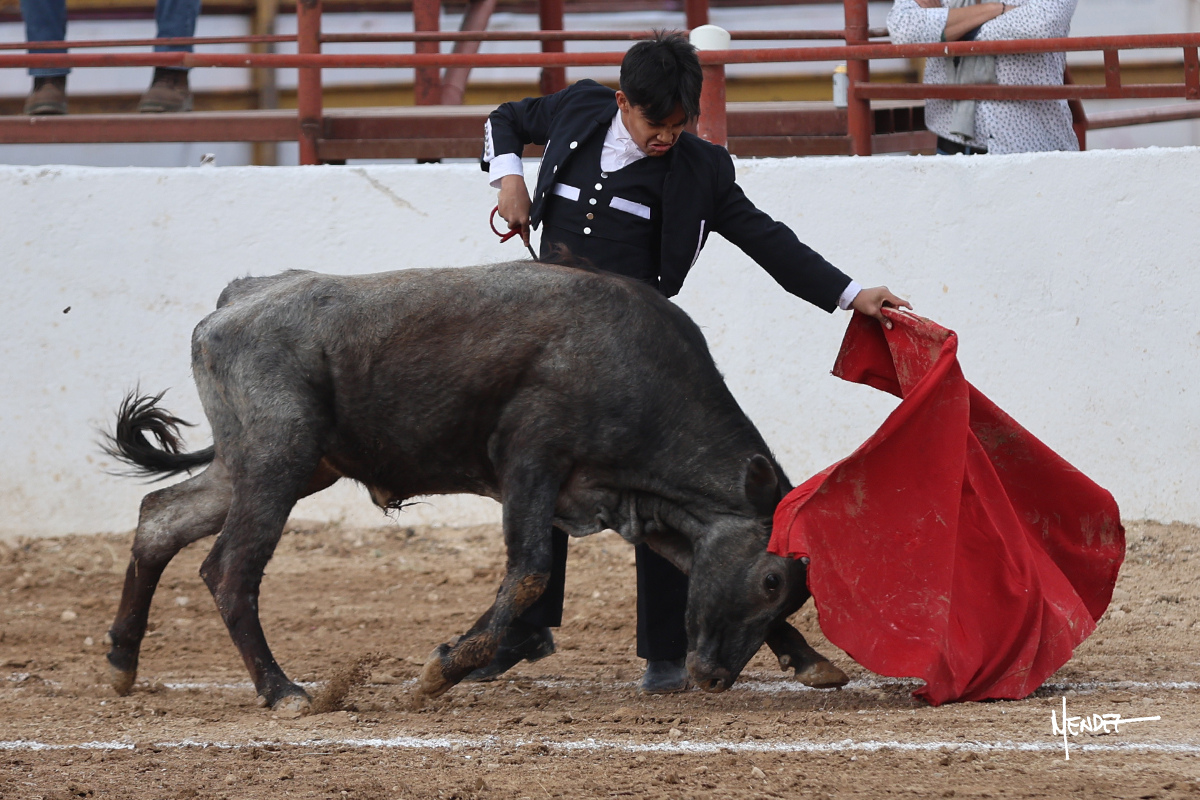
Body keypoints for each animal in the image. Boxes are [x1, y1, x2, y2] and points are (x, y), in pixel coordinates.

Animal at [102, 261, 848, 715]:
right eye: (772, 580)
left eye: (792, 588)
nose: (714, 677)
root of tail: (239, 298)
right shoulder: (531, 463)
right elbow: (530, 572)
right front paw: (439, 672)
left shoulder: (634, 503)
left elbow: (690, 565)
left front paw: (813, 662)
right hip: (277, 462)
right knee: (230, 568)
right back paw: (282, 689)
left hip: (272, 466)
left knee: (159, 519)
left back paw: (121, 662)